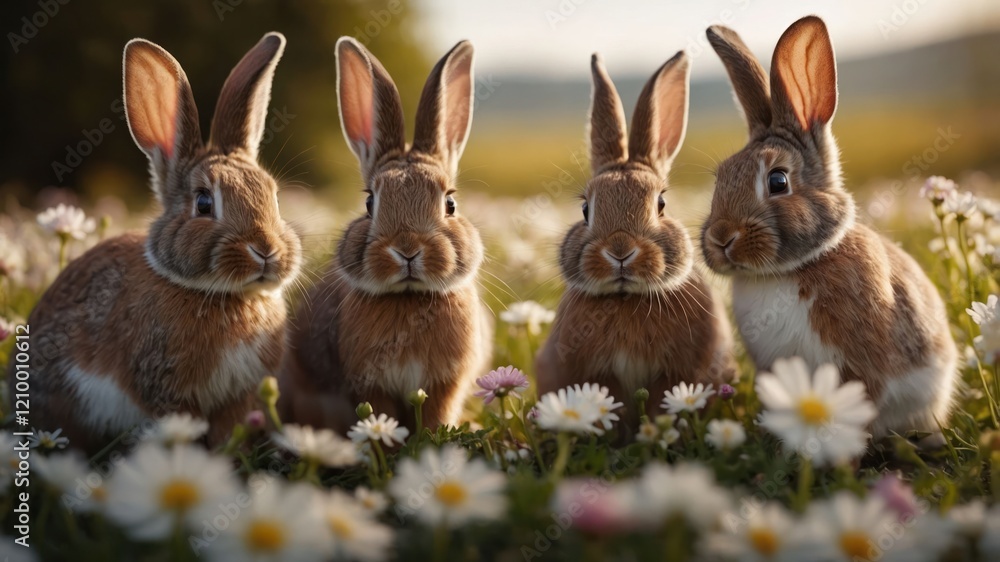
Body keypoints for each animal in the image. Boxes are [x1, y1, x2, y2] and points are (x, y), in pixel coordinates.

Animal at [10, 33, 302, 452]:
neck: (225, 294)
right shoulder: (168, 390)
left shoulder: (238, 398)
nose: (266, 250)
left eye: (274, 197)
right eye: (203, 203)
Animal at [278, 38, 492, 434]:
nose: (407, 250)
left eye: (450, 203)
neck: (408, 298)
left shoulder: (445, 385)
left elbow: (437, 416)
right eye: (369, 202)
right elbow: (382, 414)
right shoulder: (370, 385)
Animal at [535, 51, 735, 429]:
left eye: (661, 204)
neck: (627, 299)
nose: (620, 251)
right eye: (585, 209)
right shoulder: (593, 374)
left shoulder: (679, 373)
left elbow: (661, 404)